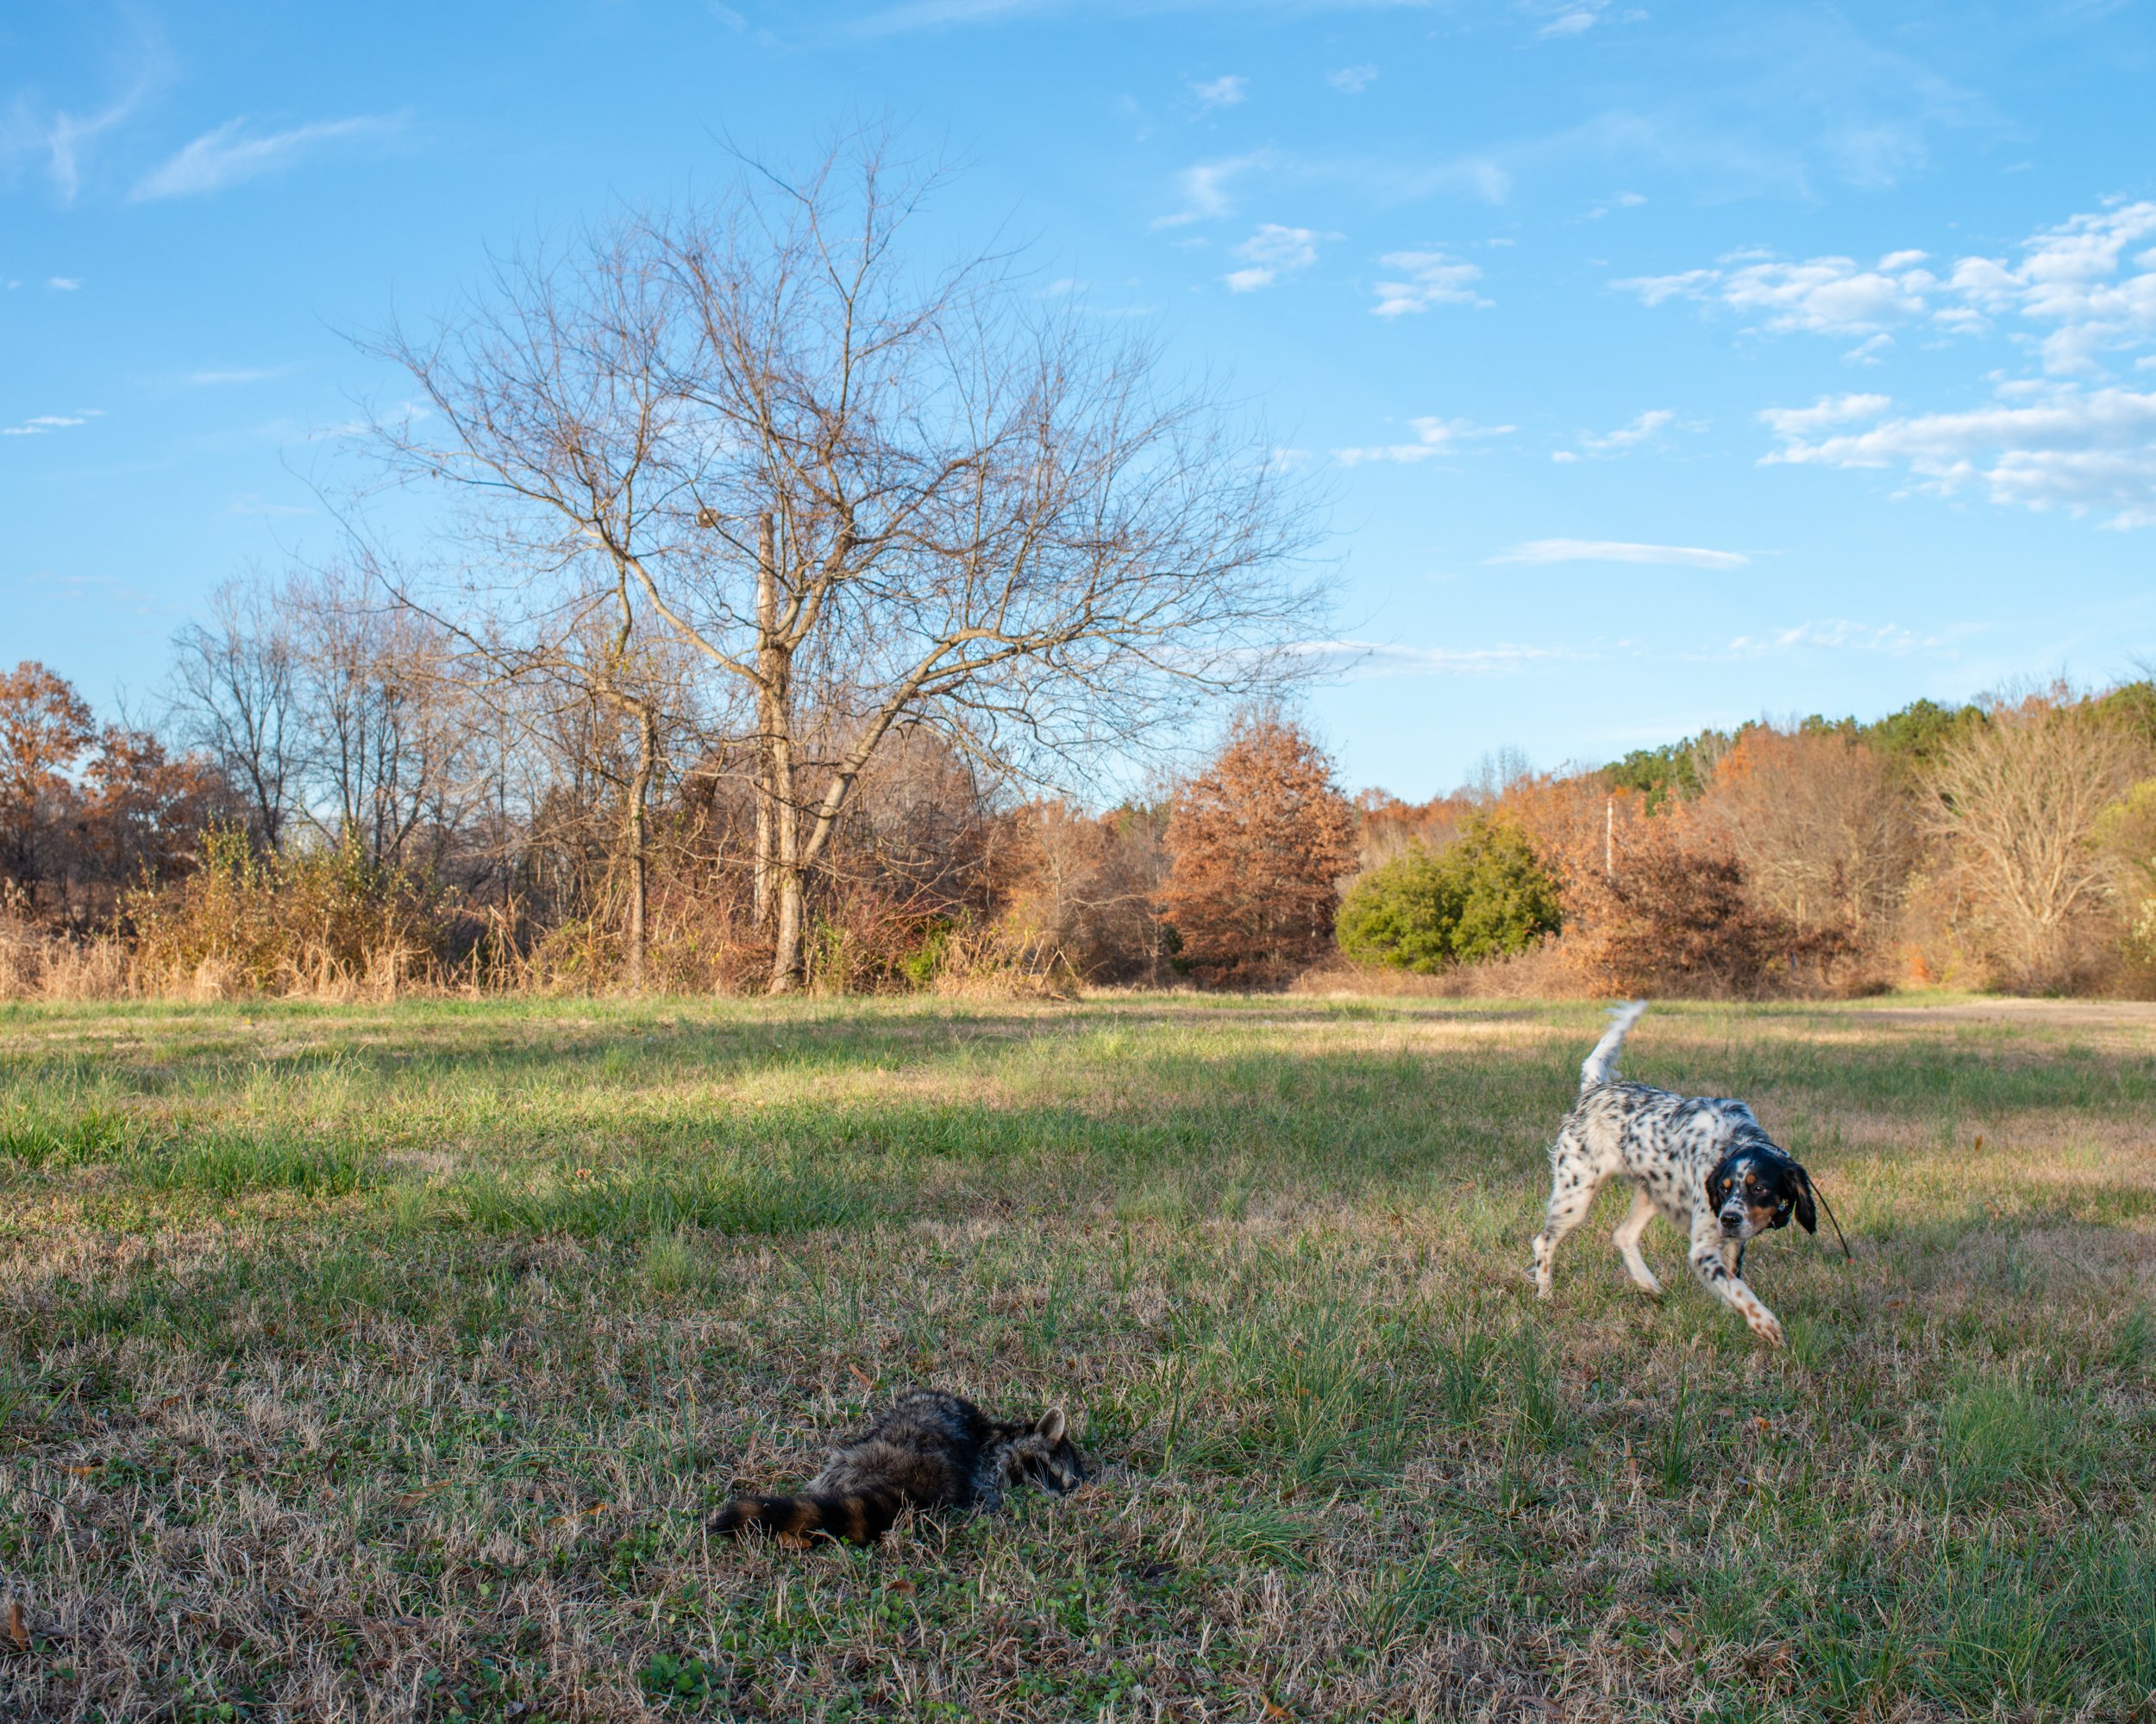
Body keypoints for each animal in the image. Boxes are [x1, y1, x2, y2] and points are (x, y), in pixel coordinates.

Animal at [1526, 1004, 1828, 1353]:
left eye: (1759, 1188)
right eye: (1724, 1189)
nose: (1728, 1219)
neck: (1732, 1140)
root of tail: (1595, 1089)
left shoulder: (1732, 1241)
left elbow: (1733, 1282)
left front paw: (1734, 1315)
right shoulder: (1704, 1250)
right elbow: (1738, 1289)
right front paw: (1764, 1323)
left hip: (1654, 1192)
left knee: (1623, 1235)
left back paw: (1648, 1284)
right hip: (1575, 1196)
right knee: (1543, 1241)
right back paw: (1545, 1293)